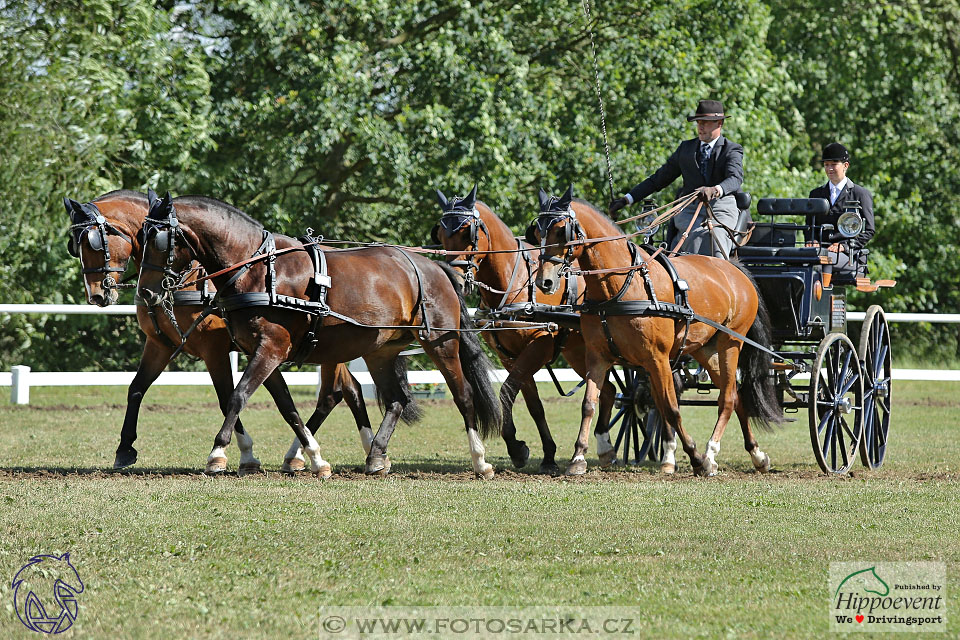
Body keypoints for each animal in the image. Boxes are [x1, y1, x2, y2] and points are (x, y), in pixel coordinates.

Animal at [63, 189, 372, 470]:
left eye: (93, 242)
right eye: (74, 245)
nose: (97, 295)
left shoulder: (215, 349)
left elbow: (227, 397)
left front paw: (239, 455)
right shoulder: (159, 344)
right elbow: (136, 388)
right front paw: (125, 448)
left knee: (333, 394)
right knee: (349, 390)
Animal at [135, 192, 502, 478]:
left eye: (158, 239)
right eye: (140, 237)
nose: (147, 294)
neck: (258, 270)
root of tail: (435, 267)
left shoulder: (271, 348)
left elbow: (238, 396)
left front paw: (217, 454)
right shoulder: (263, 351)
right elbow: (287, 406)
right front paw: (314, 457)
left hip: (442, 342)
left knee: (464, 395)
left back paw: (480, 461)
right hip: (379, 351)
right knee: (396, 400)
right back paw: (376, 455)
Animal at [434, 186, 616, 476]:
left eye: (466, 233)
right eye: (440, 235)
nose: (455, 281)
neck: (513, 282)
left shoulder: (538, 345)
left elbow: (506, 391)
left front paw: (517, 447)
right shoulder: (509, 355)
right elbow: (534, 405)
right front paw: (546, 454)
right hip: (580, 352)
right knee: (608, 390)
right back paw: (605, 449)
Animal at [528, 185, 784, 476]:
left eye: (562, 230)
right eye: (538, 231)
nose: (545, 282)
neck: (620, 286)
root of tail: (735, 270)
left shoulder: (658, 358)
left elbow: (670, 408)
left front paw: (695, 457)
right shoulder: (598, 356)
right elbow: (590, 404)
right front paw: (579, 457)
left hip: (730, 343)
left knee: (727, 398)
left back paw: (710, 454)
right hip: (706, 350)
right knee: (737, 397)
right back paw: (757, 455)